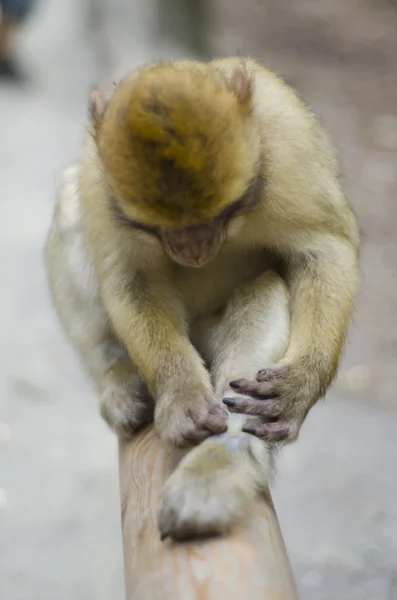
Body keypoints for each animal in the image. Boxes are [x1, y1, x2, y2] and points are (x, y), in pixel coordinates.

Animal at [44, 58, 360, 540]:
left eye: (218, 217)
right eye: (162, 229)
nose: (192, 250)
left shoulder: (290, 145)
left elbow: (325, 250)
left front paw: (301, 385)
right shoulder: (101, 183)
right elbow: (129, 280)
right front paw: (181, 394)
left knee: (264, 291)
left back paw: (220, 466)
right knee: (69, 203)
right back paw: (118, 375)